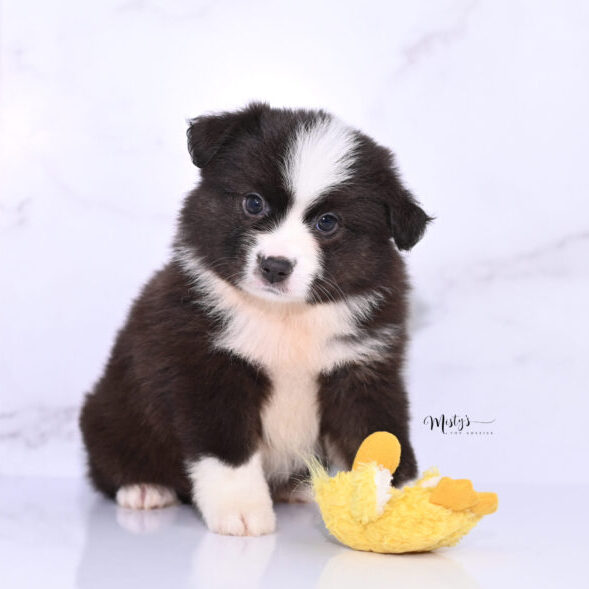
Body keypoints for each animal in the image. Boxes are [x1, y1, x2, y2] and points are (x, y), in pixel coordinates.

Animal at [79, 103, 432, 536]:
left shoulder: (362, 370)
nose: (275, 266)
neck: (286, 316)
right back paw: (144, 489)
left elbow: (381, 438)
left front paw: (405, 510)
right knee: (110, 461)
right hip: (110, 411)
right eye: (253, 203)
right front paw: (242, 510)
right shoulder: (209, 370)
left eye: (328, 223)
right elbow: (227, 452)